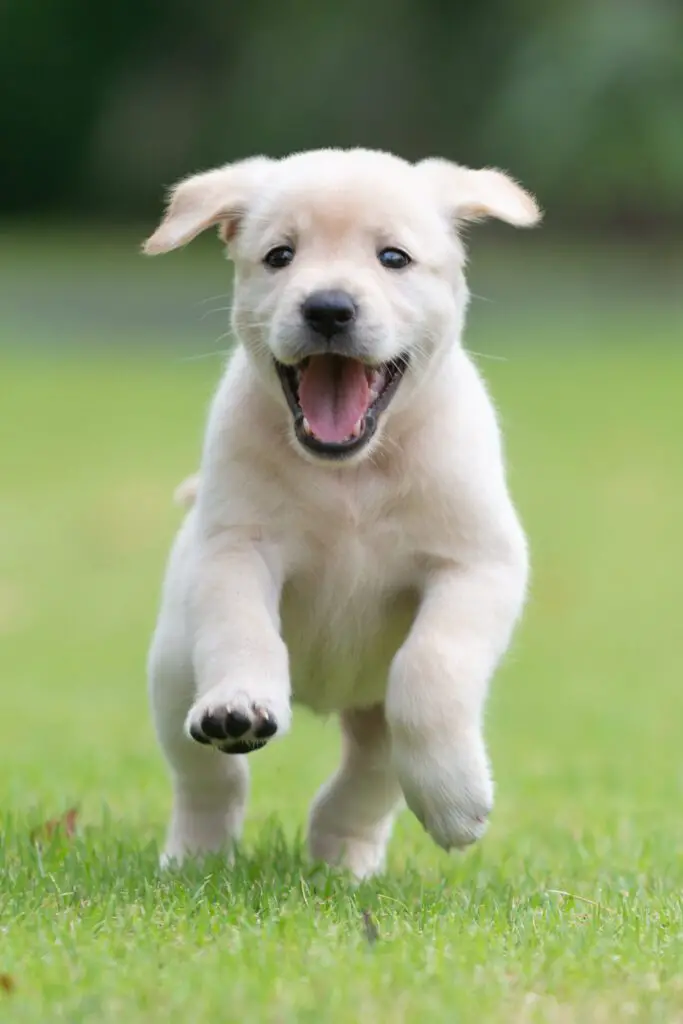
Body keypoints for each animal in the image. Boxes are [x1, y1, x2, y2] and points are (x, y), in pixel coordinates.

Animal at [143, 146, 540, 880]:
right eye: (280, 256)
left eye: (392, 258)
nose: (329, 308)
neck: (349, 477)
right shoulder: (235, 548)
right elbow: (243, 632)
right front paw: (240, 701)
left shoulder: (476, 565)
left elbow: (429, 666)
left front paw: (456, 801)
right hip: (173, 670)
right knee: (206, 777)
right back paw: (198, 854)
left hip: (373, 712)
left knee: (371, 775)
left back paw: (344, 855)